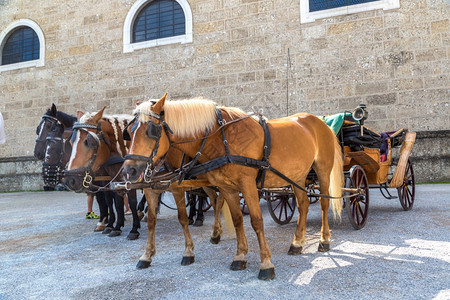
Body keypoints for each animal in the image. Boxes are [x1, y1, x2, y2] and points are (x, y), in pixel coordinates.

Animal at [121, 94, 342, 282]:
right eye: (129, 133)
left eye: (151, 131)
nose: (129, 170)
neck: (221, 138)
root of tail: (320, 122)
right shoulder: (226, 187)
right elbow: (237, 220)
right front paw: (240, 256)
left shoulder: (246, 185)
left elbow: (256, 221)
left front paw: (266, 264)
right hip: (297, 176)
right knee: (303, 204)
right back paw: (297, 242)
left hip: (322, 170)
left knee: (323, 203)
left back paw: (324, 240)